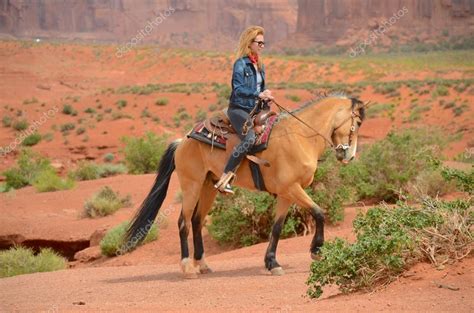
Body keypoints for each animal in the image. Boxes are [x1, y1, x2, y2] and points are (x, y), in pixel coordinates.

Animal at [124, 94, 368, 276]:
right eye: (357, 123)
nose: (349, 156)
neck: (300, 137)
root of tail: (182, 141)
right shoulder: (292, 189)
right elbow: (319, 212)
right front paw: (316, 249)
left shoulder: (286, 194)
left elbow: (277, 227)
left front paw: (272, 262)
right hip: (191, 184)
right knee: (183, 222)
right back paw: (187, 267)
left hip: (207, 186)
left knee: (196, 221)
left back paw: (202, 264)